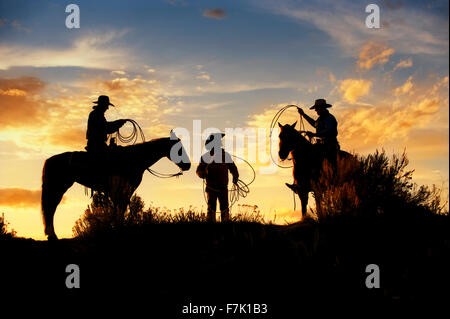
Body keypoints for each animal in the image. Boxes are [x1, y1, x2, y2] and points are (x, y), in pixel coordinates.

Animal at [41, 130, 191, 240]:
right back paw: (52, 235)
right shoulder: (123, 188)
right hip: (58, 187)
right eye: (179, 149)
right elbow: (121, 206)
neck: (133, 159)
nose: (188, 165)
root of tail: (50, 160)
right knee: (51, 208)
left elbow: (120, 207)